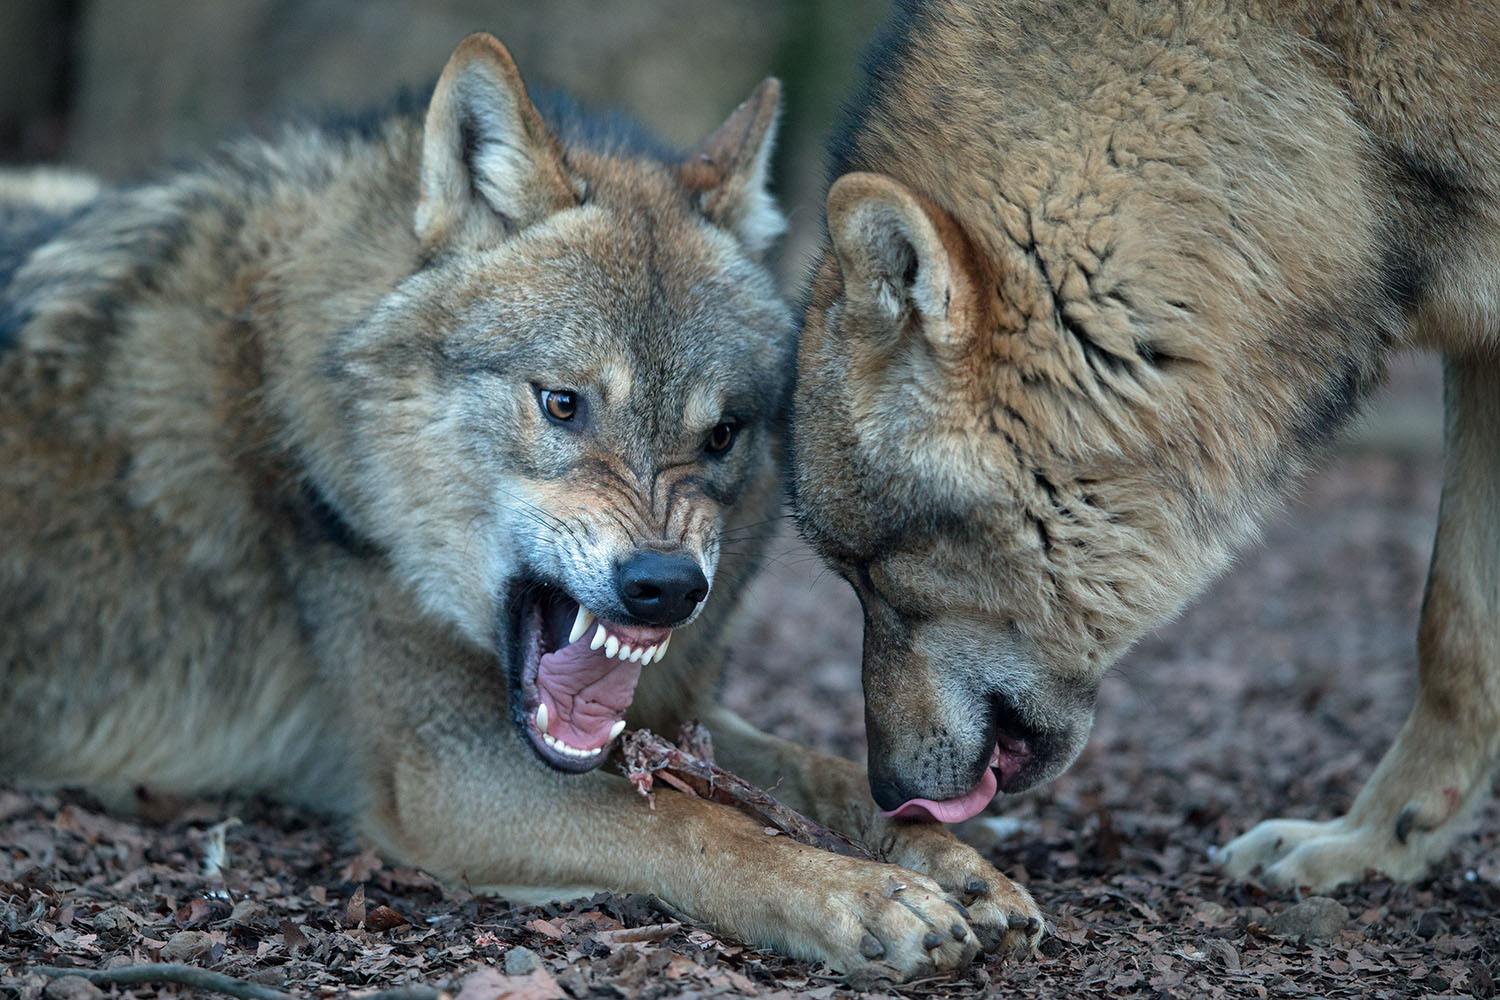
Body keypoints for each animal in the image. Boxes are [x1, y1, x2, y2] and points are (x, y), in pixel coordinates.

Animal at [5, 33, 1044, 983]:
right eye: (562, 403)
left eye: (721, 435)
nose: (667, 586)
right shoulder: (447, 773)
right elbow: (694, 825)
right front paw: (859, 895)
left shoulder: (671, 708)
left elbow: (824, 775)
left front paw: (953, 865)